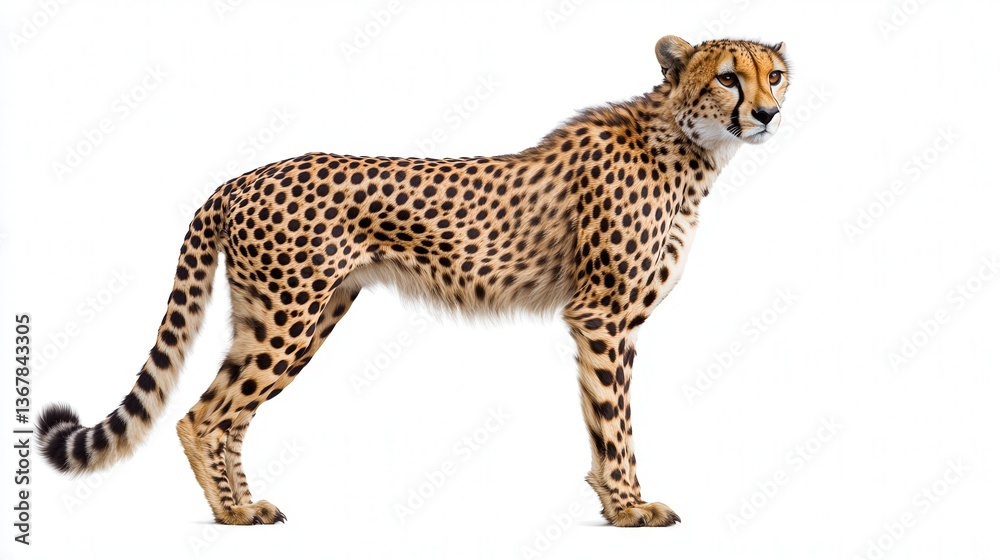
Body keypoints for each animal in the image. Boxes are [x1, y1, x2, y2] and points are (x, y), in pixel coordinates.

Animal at [38, 35, 790, 527]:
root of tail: (243, 176)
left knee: (228, 414)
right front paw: (631, 508)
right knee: (201, 416)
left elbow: (603, 419)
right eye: (728, 78)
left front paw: (613, 505)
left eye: (776, 75)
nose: (767, 114)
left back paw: (243, 505)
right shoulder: (602, 316)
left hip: (288, 317)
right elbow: (614, 420)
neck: (689, 146)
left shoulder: (606, 320)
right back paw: (230, 515)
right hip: (291, 316)